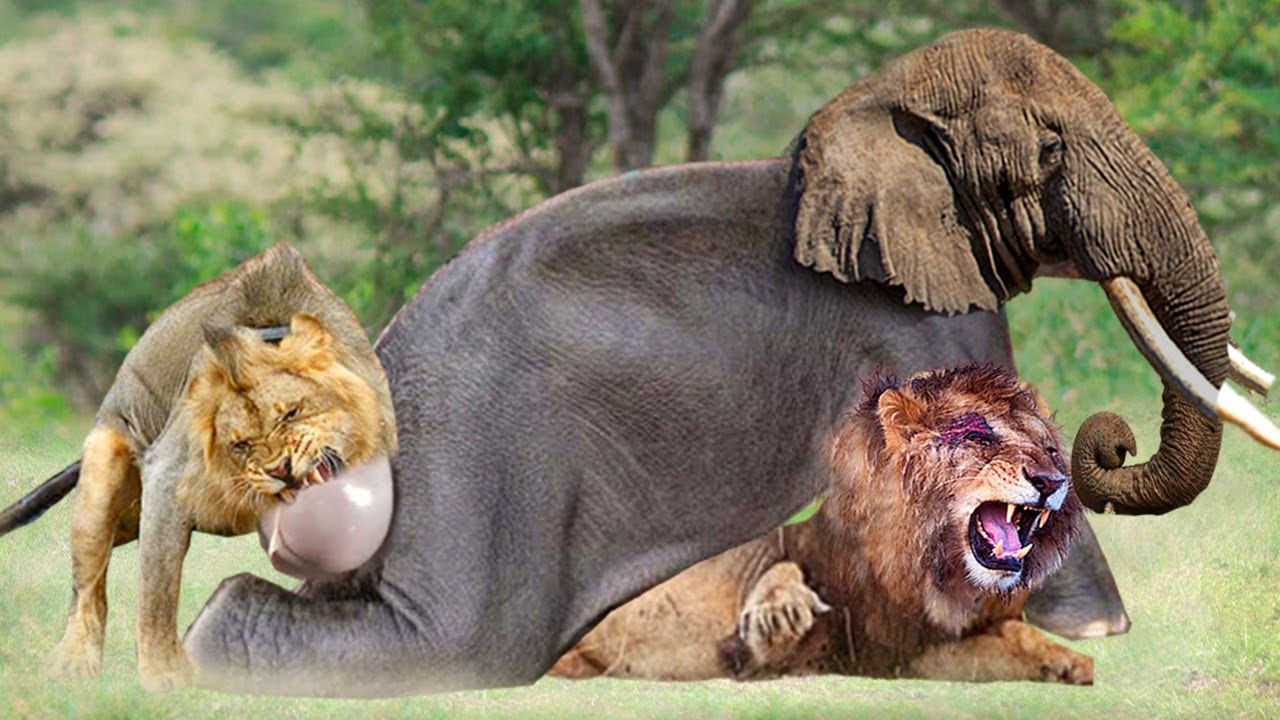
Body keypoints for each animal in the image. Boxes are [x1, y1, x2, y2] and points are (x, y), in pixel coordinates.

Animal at [0, 243, 397, 691]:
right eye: (241, 444)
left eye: (291, 413)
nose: (280, 469)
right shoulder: (166, 479)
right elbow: (157, 591)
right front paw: (164, 676)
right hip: (101, 478)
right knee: (88, 587)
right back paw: (73, 661)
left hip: (128, 519)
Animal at [551, 365, 1093, 685]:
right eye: (980, 439)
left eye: (1049, 449)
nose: (1051, 480)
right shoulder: (877, 647)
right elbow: (782, 578)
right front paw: (778, 616)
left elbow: (1018, 641)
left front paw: (1069, 662)